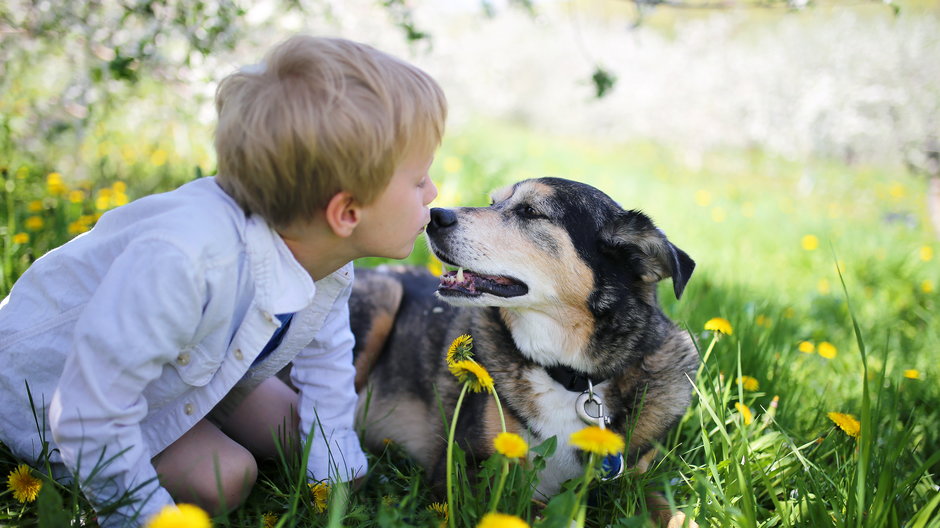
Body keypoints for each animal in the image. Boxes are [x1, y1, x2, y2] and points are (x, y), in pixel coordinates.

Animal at [348, 178, 692, 528]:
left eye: (529, 211)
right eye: (492, 202)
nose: (434, 216)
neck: (570, 378)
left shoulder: (633, 481)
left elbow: (676, 514)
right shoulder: (465, 472)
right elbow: (539, 515)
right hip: (384, 296)